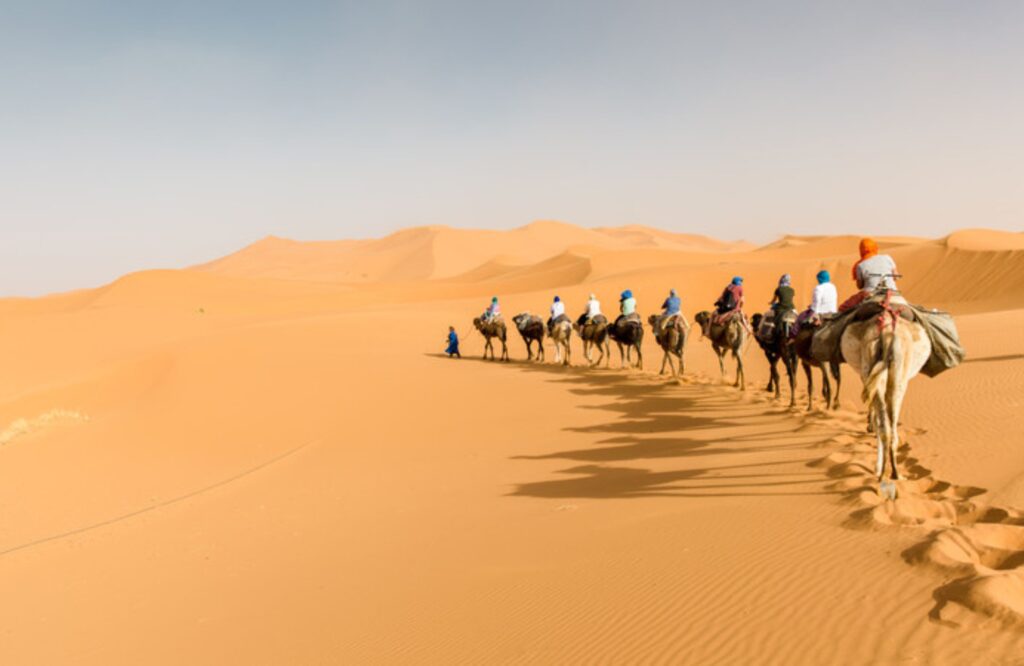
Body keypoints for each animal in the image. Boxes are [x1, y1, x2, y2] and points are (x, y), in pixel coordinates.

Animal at [843, 301, 933, 481]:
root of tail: (886, 335)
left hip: (873, 366)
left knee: (885, 426)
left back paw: (885, 472)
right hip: (899, 376)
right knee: (890, 423)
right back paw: (893, 472)